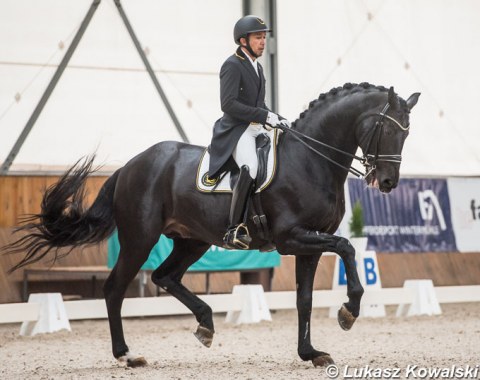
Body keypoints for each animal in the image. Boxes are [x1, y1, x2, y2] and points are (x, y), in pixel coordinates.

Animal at [5, 82, 420, 368]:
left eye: (407, 132)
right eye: (387, 129)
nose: (387, 182)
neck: (311, 159)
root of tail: (130, 165)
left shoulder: (310, 244)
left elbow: (305, 299)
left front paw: (311, 352)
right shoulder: (293, 239)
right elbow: (348, 248)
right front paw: (349, 311)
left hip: (192, 241)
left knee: (165, 277)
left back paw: (205, 323)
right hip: (140, 239)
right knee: (115, 289)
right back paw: (126, 355)